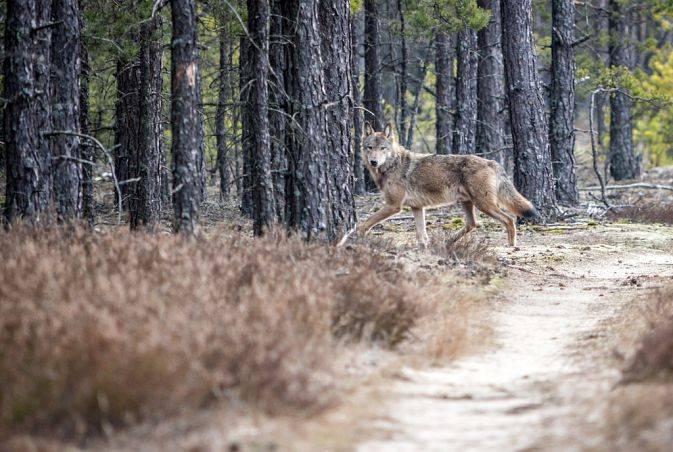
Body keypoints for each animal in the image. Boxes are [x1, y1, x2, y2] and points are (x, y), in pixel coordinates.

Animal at [352, 123, 536, 247]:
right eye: (370, 147)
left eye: (383, 148)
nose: (373, 162)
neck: (392, 166)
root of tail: (492, 162)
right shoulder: (417, 208)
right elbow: (421, 235)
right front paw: (424, 248)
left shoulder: (393, 206)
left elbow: (365, 223)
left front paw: (356, 235)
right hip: (468, 203)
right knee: (473, 224)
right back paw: (448, 241)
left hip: (484, 205)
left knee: (509, 219)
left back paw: (511, 245)